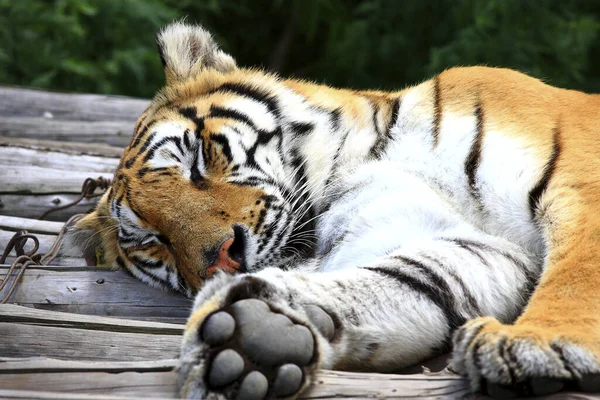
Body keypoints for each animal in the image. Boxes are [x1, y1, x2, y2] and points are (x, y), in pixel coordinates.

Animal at [64, 21, 600, 400]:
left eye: (197, 159)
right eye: (155, 241)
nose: (225, 257)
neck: (365, 157)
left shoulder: (579, 175)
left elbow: (579, 272)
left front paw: (533, 342)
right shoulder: (470, 244)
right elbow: (407, 279)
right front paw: (256, 332)